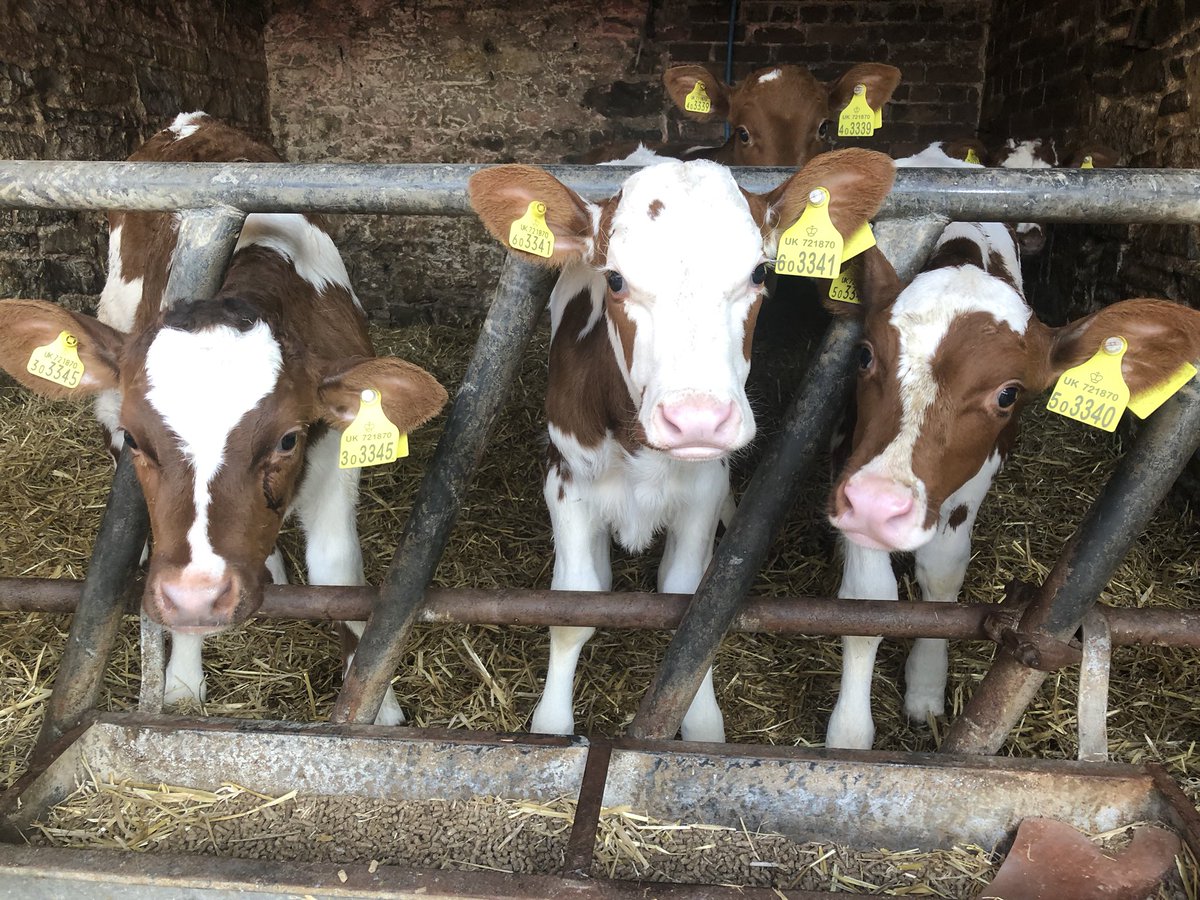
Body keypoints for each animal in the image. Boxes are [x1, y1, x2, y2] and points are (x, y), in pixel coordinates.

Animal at [0, 112, 448, 721]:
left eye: (287, 440)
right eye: (139, 440)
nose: (199, 595)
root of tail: (191, 121)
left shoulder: (337, 458)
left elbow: (338, 573)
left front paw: (374, 705)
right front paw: (182, 681)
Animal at [468, 147, 897, 741]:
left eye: (760, 272)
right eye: (615, 280)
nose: (697, 419)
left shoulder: (701, 489)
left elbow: (689, 600)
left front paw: (700, 723)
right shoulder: (564, 480)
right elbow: (573, 606)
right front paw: (551, 724)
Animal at [822, 210, 1200, 750]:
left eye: (1008, 394)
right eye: (864, 355)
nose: (877, 504)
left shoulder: (973, 482)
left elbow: (942, 574)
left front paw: (926, 684)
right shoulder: (849, 460)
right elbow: (866, 602)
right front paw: (850, 734)